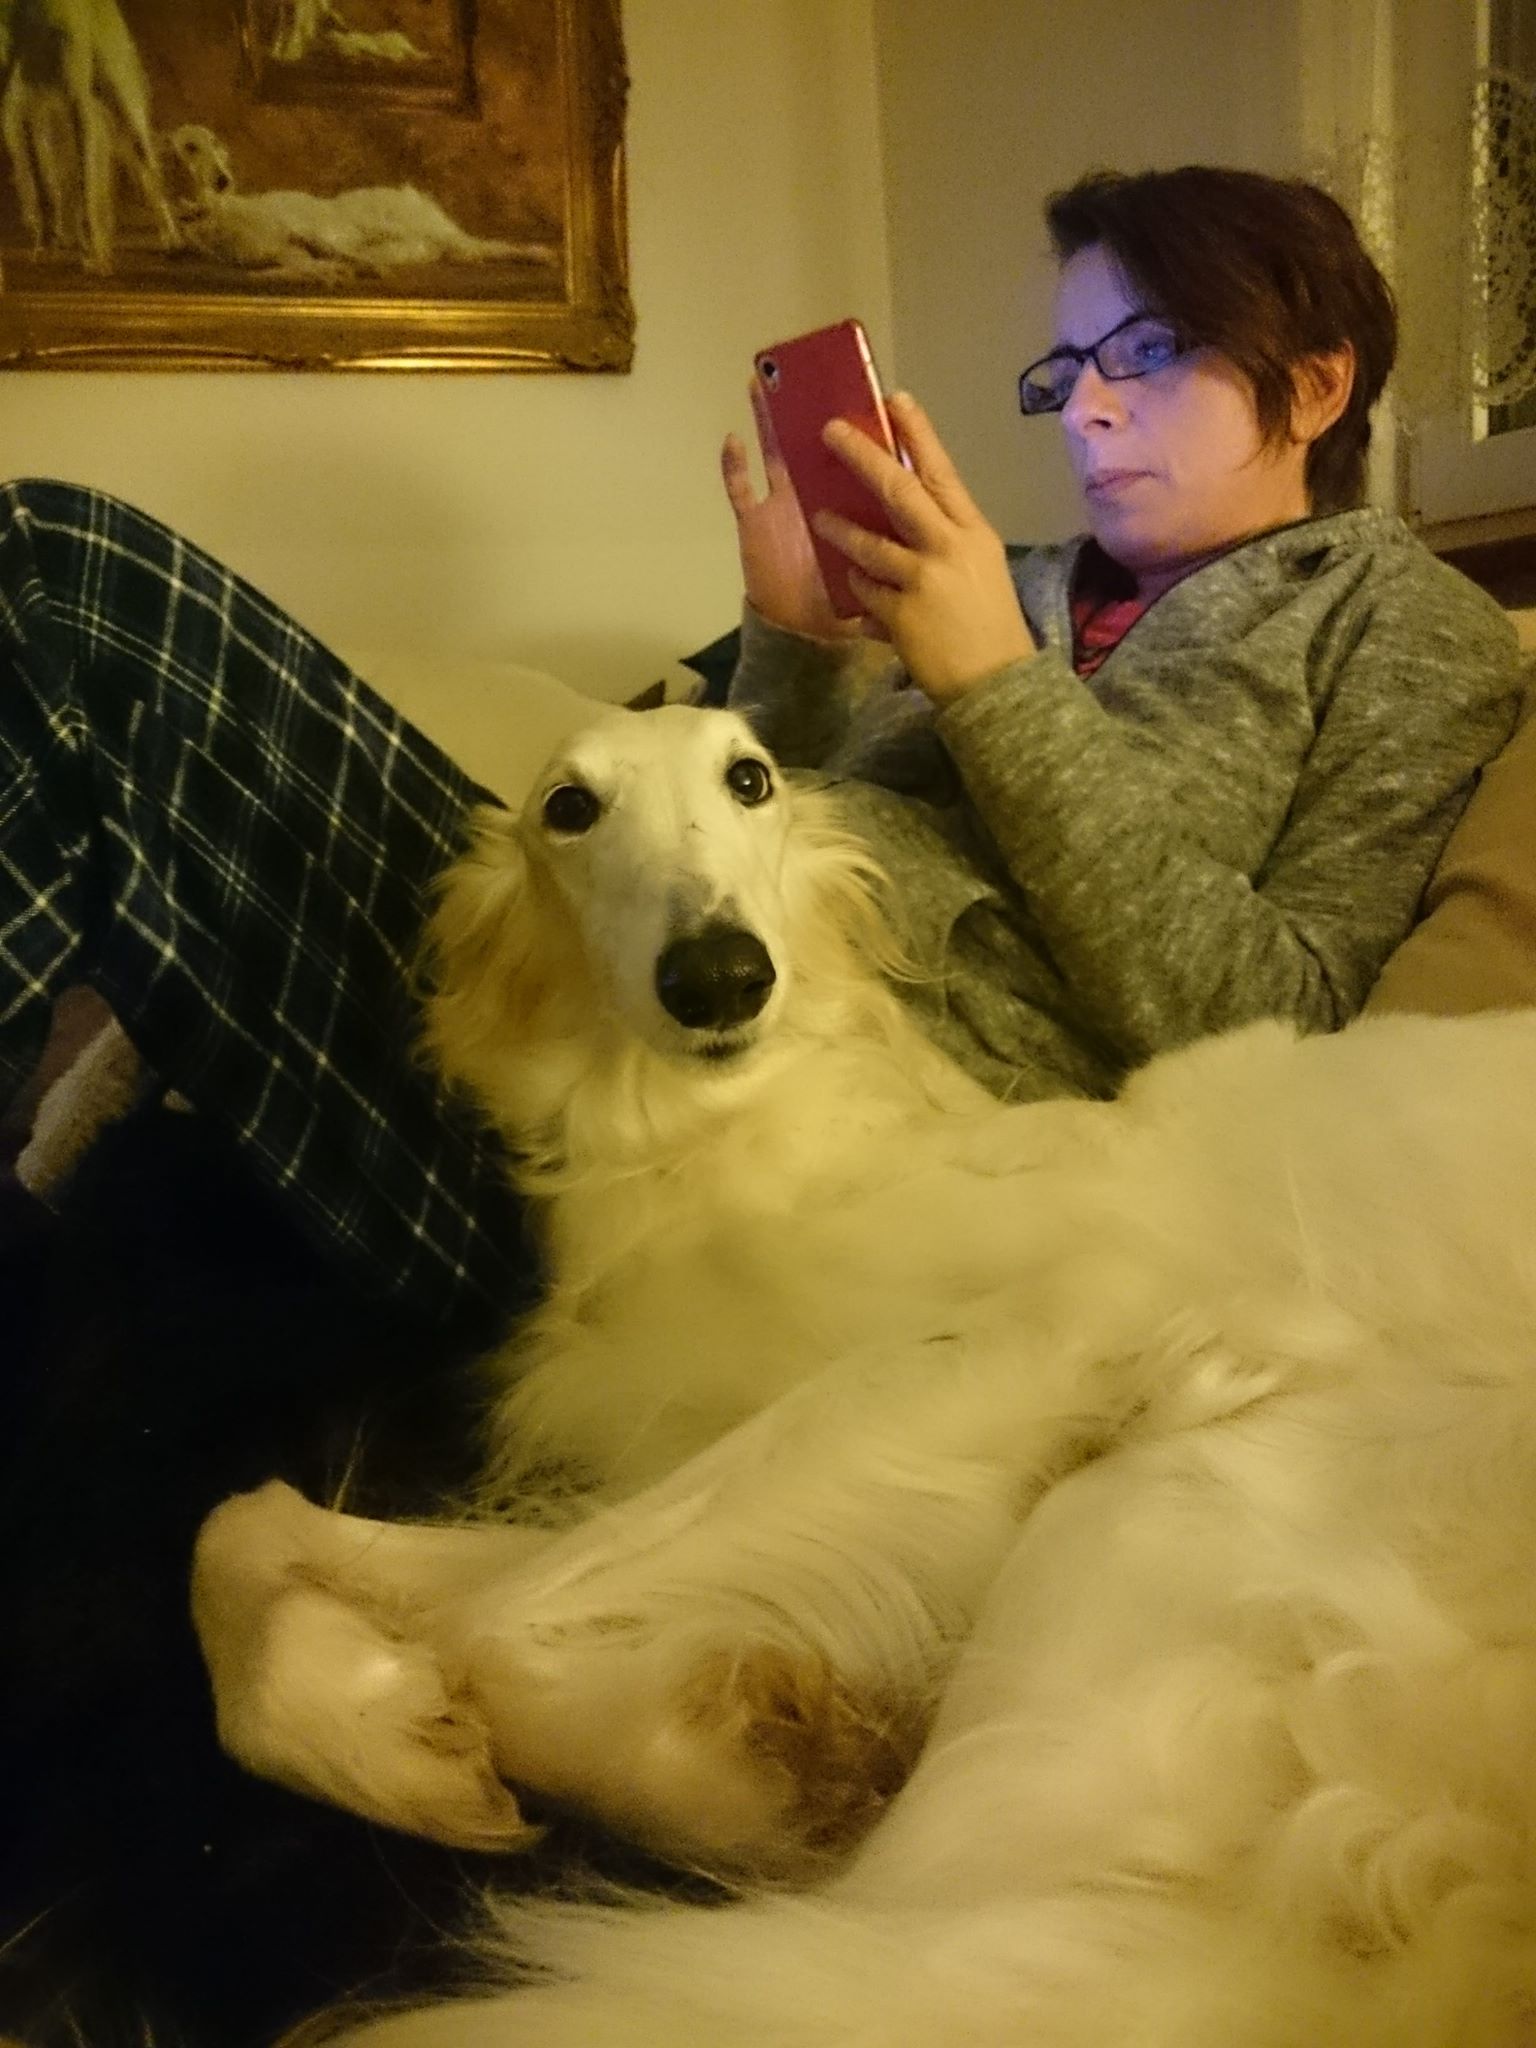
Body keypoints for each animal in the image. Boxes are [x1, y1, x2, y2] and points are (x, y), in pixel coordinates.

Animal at [190, 704, 1536, 2046]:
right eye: (568, 807)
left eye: (751, 777)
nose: (720, 974)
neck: (719, 1144)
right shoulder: (708, 1443)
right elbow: (248, 1527)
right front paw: (385, 1733)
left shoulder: (1062, 1314)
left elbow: (493, 1621)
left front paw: (734, 1775)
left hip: (1146, 1522)